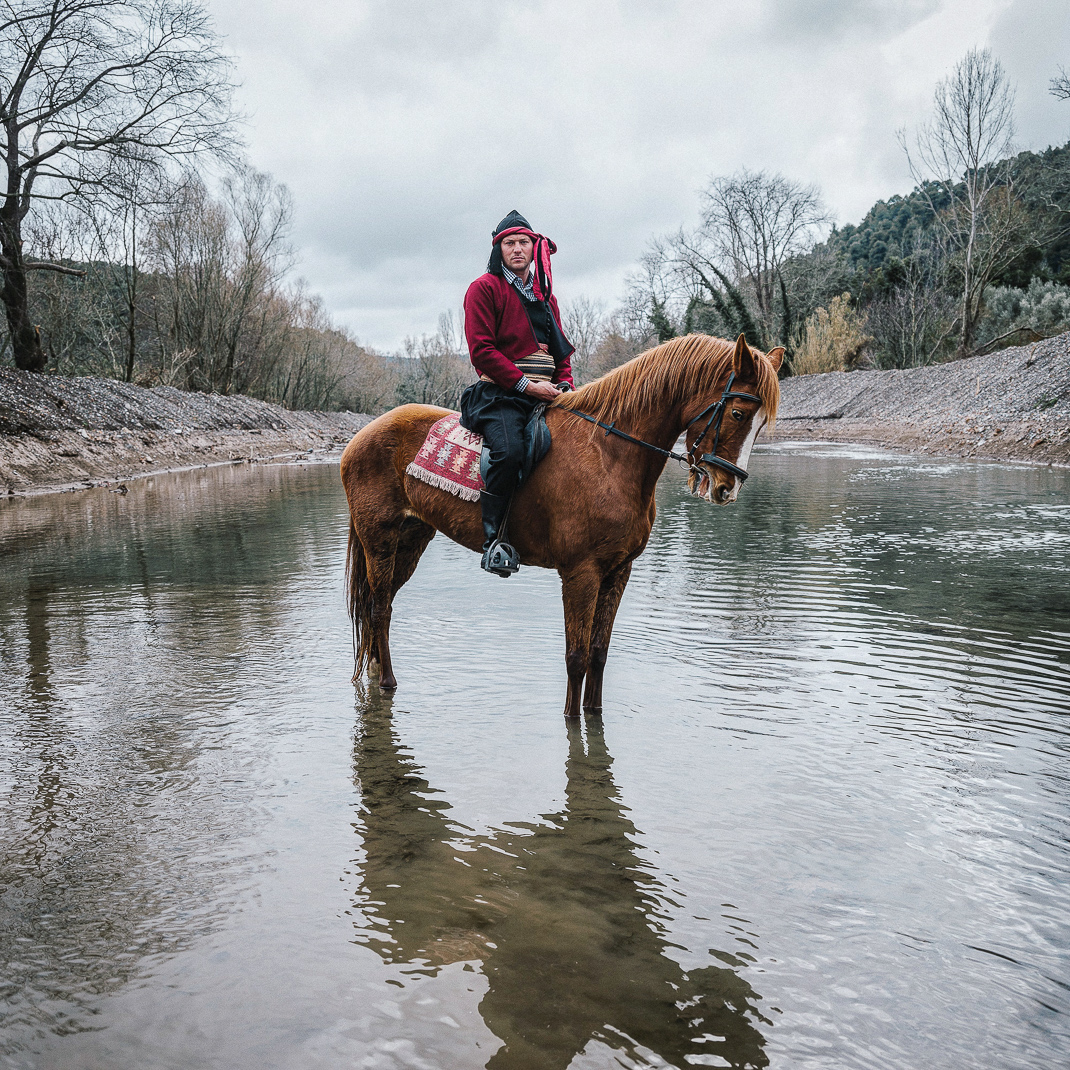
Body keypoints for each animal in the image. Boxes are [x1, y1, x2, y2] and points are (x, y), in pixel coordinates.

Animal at [342, 333, 787, 719]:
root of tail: (361, 435)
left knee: (381, 606)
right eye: (737, 413)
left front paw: (594, 716)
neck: (608, 453)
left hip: (411, 538)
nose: (727, 488)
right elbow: (576, 657)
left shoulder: (618, 571)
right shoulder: (581, 573)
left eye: (761, 423)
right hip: (379, 538)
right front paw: (573, 721)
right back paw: (387, 681)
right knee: (378, 607)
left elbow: (598, 654)